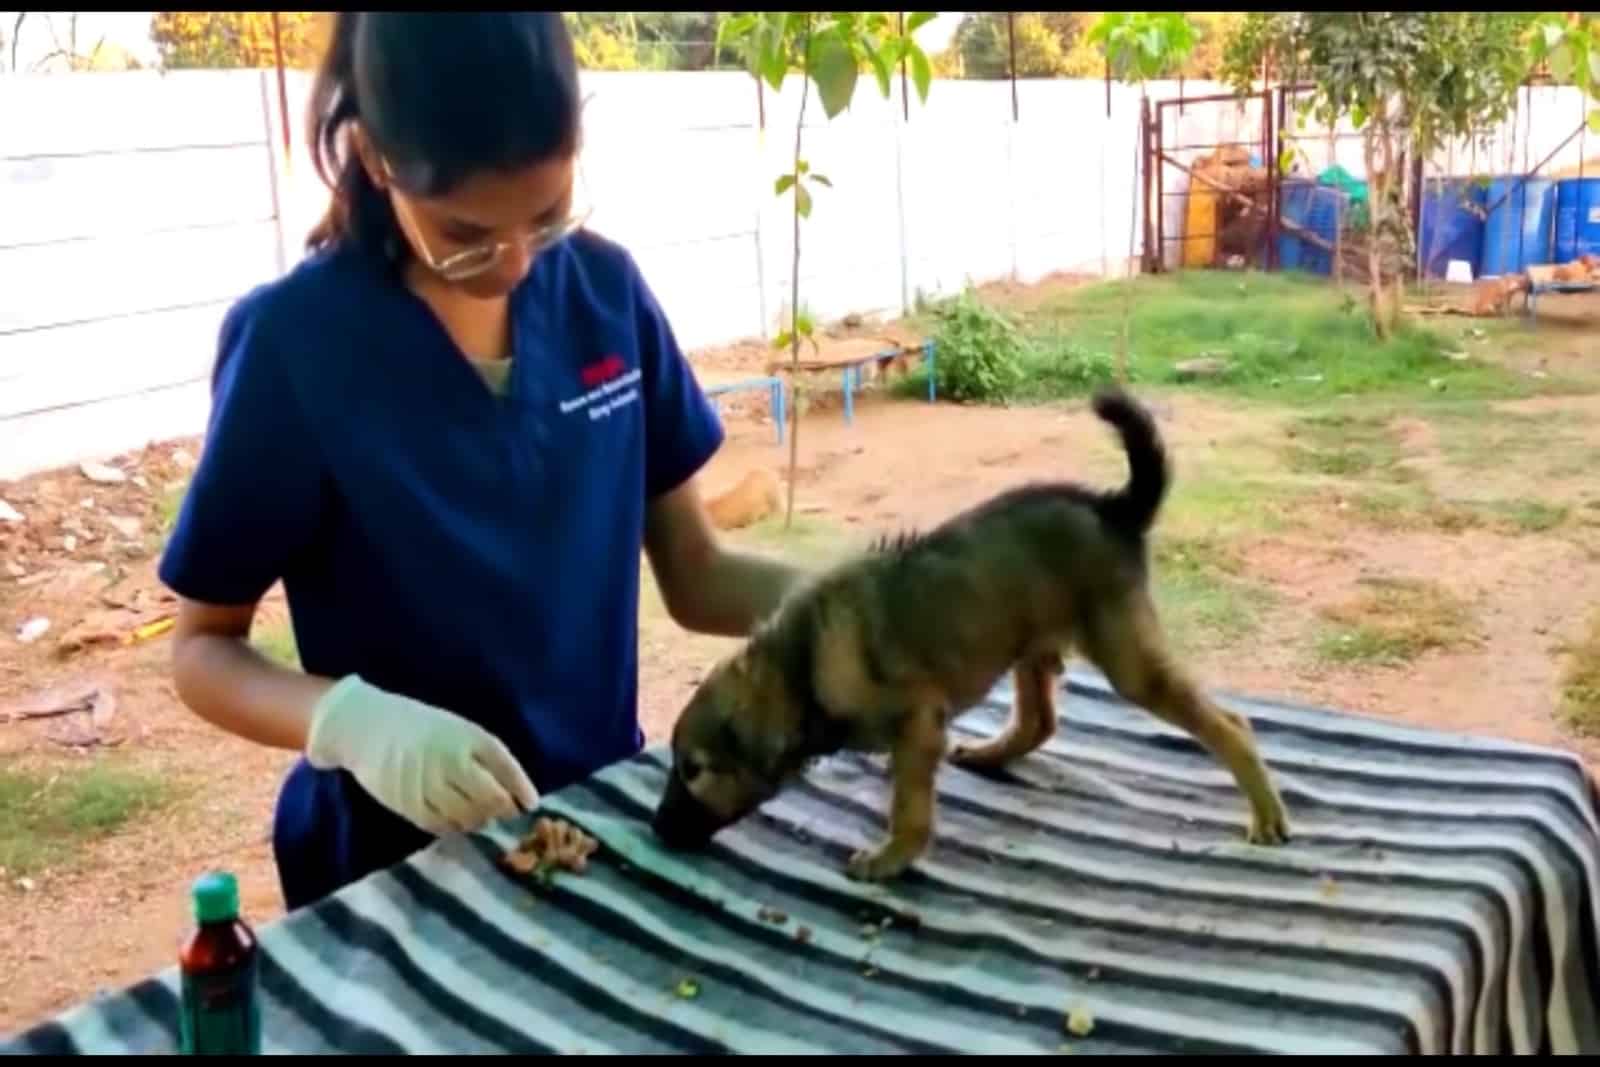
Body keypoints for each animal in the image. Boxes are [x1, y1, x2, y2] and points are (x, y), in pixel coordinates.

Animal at [656, 388, 1292, 883]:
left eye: (694, 769)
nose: (658, 830)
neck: (801, 668)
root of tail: (1113, 508)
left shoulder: (917, 721)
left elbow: (910, 804)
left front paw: (893, 857)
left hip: (1126, 656)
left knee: (1228, 724)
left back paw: (1264, 812)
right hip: (1030, 640)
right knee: (1039, 722)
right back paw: (990, 754)